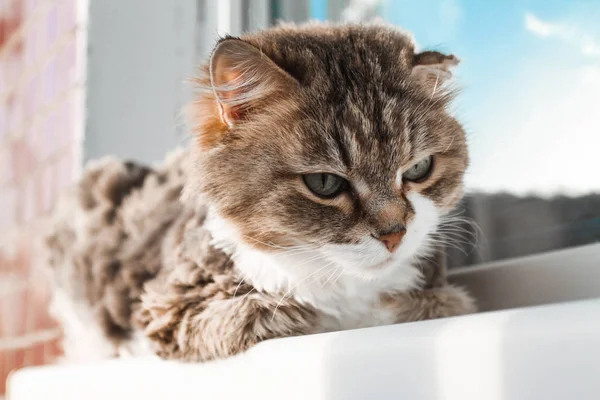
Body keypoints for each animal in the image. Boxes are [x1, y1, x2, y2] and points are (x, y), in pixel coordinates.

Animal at [44, 23, 478, 364]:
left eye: (418, 169)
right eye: (325, 183)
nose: (394, 235)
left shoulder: (439, 296)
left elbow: (429, 303)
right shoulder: (167, 312)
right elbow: (274, 313)